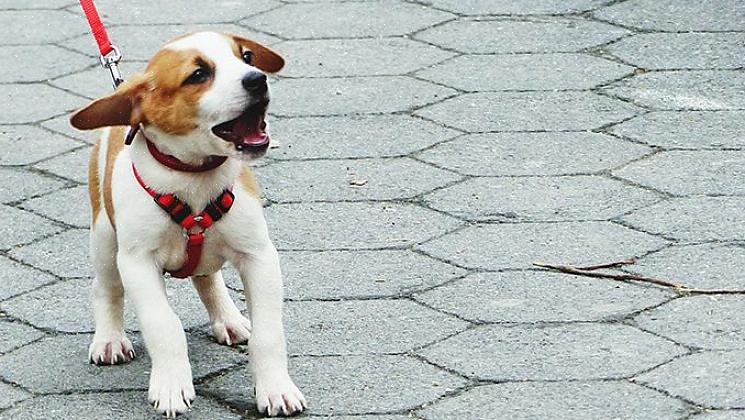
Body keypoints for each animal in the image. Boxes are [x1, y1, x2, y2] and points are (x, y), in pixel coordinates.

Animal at [68, 32, 304, 416]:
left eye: (246, 57)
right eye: (198, 74)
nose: (258, 79)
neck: (194, 178)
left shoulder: (259, 257)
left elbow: (269, 334)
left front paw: (275, 389)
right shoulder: (138, 264)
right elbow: (165, 326)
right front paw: (171, 386)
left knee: (207, 278)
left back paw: (228, 319)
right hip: (104, 239)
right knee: (105, 287)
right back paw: (109, 339)